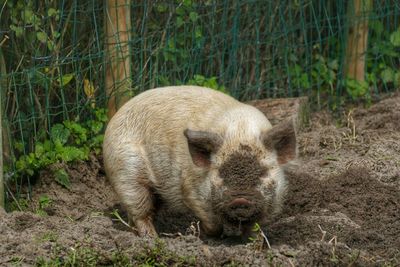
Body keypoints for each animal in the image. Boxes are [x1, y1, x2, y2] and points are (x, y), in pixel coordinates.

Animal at [103, 86, 296, 239]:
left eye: (263, 172)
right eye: (220, 172)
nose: (240, 199)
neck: (241, 131)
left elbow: (256, 226)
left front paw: (252, 242)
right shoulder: (190, 188)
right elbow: (211, 222)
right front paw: (209, 236)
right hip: (126, 171)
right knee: (139, 210)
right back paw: (151, 238)